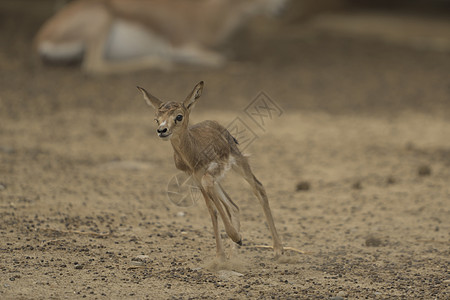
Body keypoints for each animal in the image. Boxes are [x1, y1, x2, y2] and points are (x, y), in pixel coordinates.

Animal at [37, 0, 286, 72]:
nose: (282, 7)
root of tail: (43, 36)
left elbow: (225, 53)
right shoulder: (179, 44)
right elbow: (220, 58)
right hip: (102, 21)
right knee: (94, 66)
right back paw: (161, 63)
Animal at [139, 81, 284, 258]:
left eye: (179, 116)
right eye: (156, 118)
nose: (162, 130)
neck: (193, 153)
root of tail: (218, 125)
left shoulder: (213, 170)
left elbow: (214, 201)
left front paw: (235, 238)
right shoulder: (196, 178)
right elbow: (212, 210)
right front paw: (221, 254)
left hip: (238, 162)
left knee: (259, 188)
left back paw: (278, 249)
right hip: (216, 179)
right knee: (233, 205)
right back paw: (234, 250)